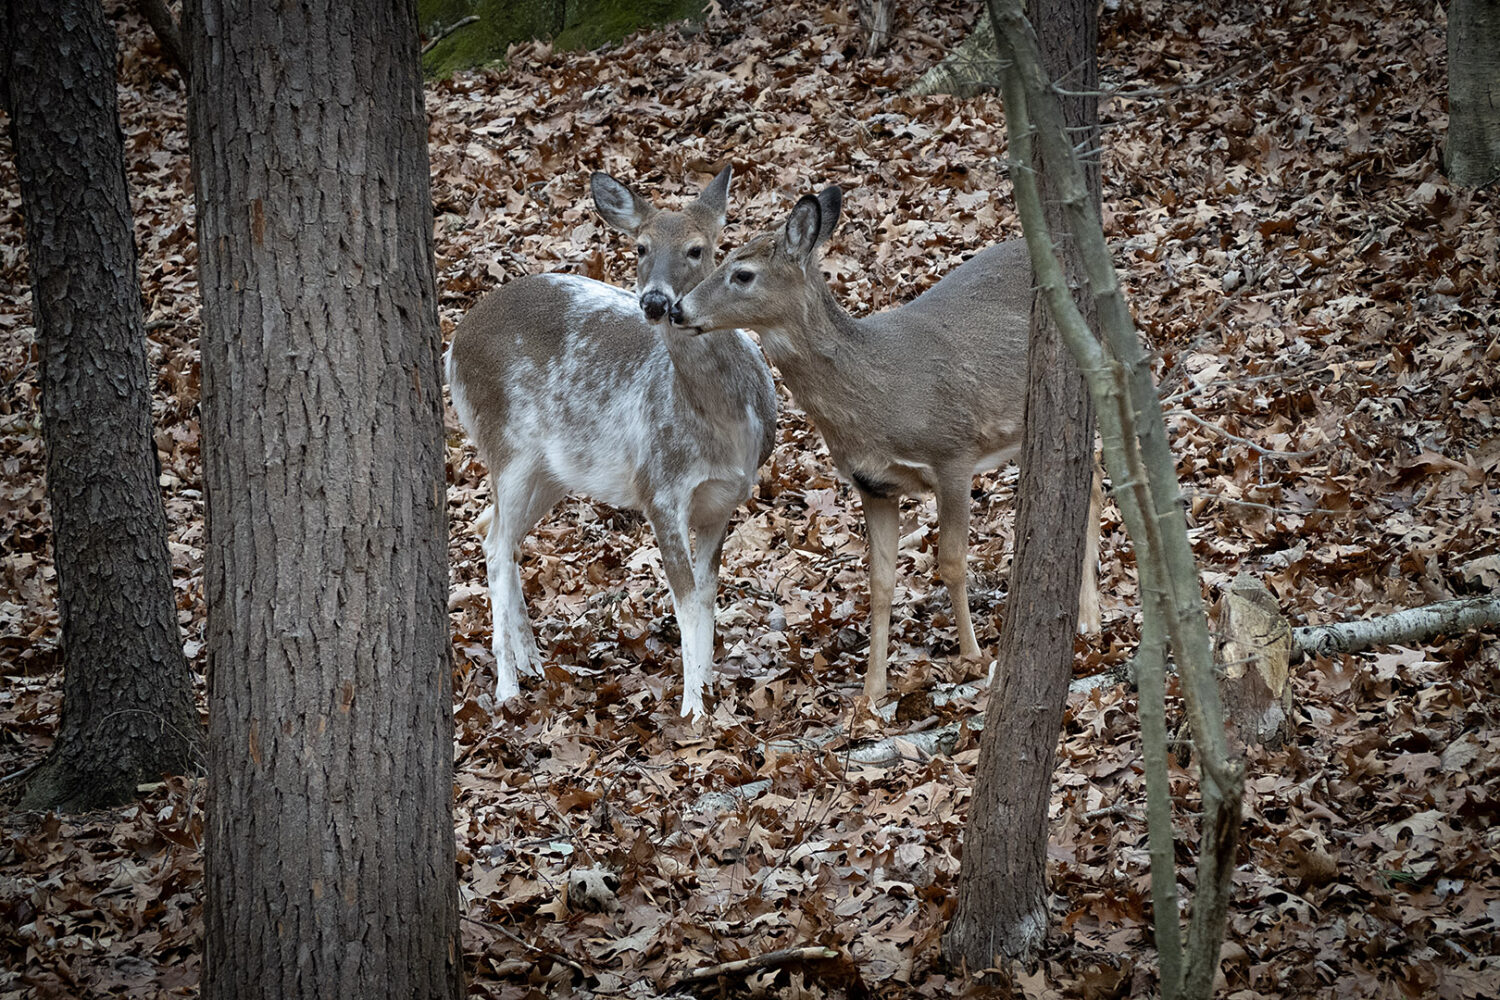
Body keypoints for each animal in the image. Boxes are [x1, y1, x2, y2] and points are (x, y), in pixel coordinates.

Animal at [444, 172, 774, 719]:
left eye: (697, 249)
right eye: (640, 246)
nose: (656, 302)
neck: (722, 427)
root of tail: (454, 343)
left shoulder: (723, 500)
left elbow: (707, 597)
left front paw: (709, 691)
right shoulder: (658, 487)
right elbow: (685, 600)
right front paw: (693, 709)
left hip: (552, 471)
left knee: (496, 532)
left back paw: (533, 662)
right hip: (506, 446)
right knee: (493, 544)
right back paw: (508, 687)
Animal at [672, 187, 1104, 704]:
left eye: (742, 274)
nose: (676, 310)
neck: (879, 396)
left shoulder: (953, 453)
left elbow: (951, 561)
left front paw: (972, 657)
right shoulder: (873, 484)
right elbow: (879, 583)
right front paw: (872, 690)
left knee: (1096, 480)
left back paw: (1090, 619)